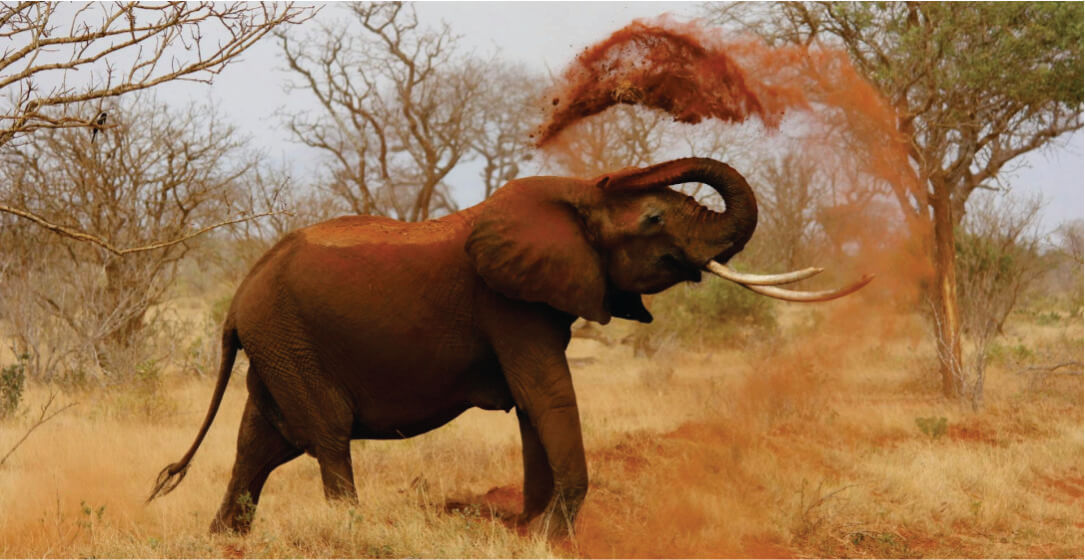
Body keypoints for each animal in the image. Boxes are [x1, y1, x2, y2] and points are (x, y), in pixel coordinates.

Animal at [147, 157, 869, 537]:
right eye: (655, 218)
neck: (575, 195)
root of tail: (239, 295)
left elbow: (532, 405)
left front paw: (530, 529)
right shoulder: (508, 303)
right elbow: (546, 393)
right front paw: (551, 534)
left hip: (276, 343)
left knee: (260, 443)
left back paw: (225, 541)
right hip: (288, 339)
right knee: (324, 435)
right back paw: (351, 532)